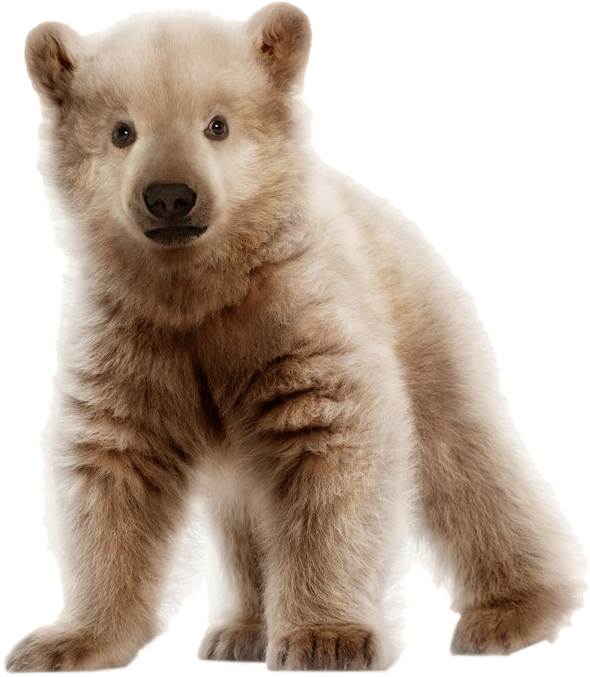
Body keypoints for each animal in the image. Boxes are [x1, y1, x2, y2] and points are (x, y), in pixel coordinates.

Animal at [7, 2, 587, 674]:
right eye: (122, 131)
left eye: (217, 125)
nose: (171, 196)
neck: (199, 293)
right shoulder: (133, 337)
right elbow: (113, 469)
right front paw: (61, 643)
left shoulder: (293, 314)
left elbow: (330, 451)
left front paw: (326, 638)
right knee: (243, 508)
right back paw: (239, 631)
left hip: (421, 323)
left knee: (464, 457)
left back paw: (510, 616)